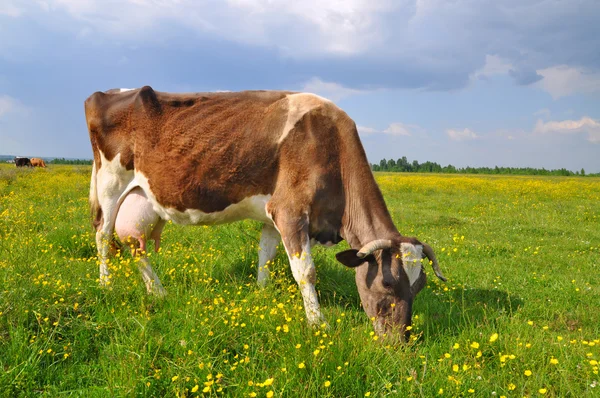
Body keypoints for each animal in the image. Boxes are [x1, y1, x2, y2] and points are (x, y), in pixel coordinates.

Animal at [86, 85, 448, 338]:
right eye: (387, 284)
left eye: (420, 286)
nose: (400, 341)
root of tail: (108, 92)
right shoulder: (289, 210)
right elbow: (306, 272)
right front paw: (319, 324)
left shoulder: (276, 217)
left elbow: (266, 257)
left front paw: (261, 297)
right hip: (110, 183)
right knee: (103, 235)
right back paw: (106, 286)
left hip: (142, 199)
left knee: (135, 244)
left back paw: (157, 291)